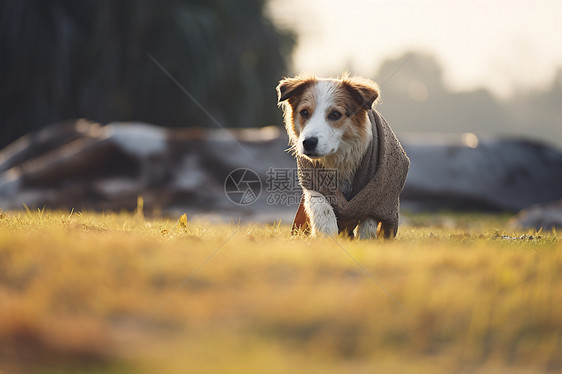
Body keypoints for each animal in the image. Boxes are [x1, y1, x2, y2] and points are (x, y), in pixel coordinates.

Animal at [276, 74, 406, 238]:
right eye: (304, 112)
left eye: (335, 114)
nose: (308, 142)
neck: (340, 161)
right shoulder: (312, 181)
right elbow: (322, 206)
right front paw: (327, 235)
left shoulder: (379, 192)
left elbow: (369, 220)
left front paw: (366, 240)